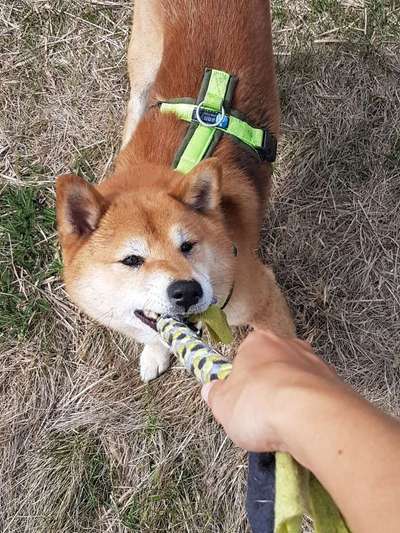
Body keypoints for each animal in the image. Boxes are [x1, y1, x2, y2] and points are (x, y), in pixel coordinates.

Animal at [55, 0, 294, 382]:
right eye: (132, 260)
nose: (186, 291)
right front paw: (155, 350)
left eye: (188, 246)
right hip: (141, 66)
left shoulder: (264, 298)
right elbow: (155, 333)